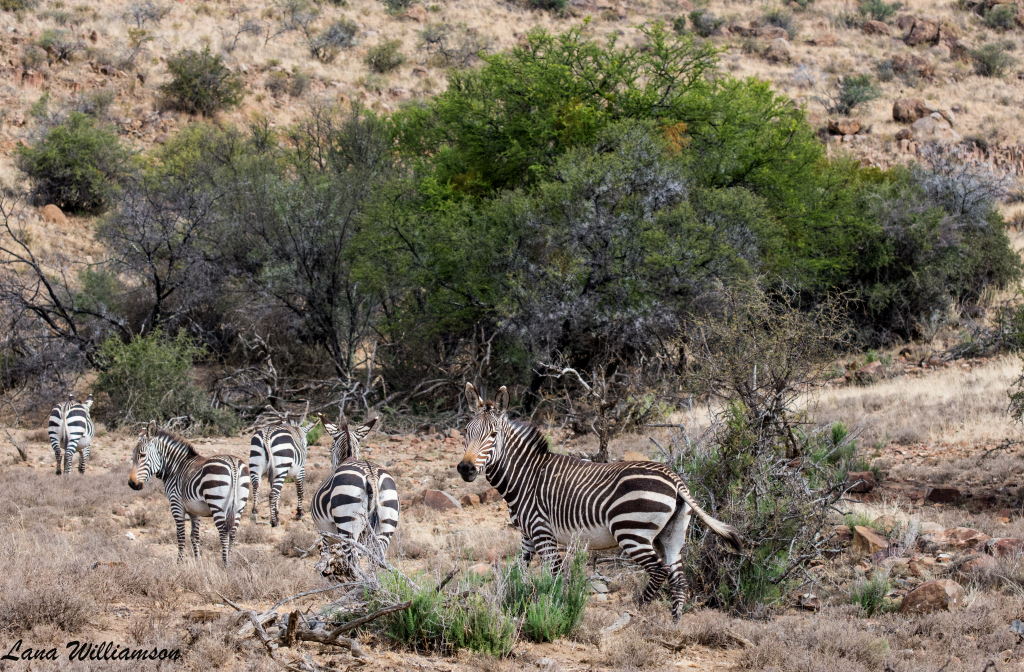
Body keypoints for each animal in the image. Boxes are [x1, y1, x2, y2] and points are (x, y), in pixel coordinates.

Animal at [128, 427, 249, 565]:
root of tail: (233, 463)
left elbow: (181, 536)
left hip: (218, 504)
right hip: (239, 506)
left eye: (143, 455)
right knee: (233, 533)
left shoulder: (176, 505)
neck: (175, 468)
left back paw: (225, 564)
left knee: (224, 533)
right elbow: (194, 536)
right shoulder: (195, 510)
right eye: (133, 456)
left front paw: (179, 563)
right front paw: (198, 562)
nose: (132, 484)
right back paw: (231, 560)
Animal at [311, 417, 400, 574]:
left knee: (354, 563)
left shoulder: (326, 531)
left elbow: (325, 556)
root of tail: (371, 475)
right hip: (386, 524)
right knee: (375, 562)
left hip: (348, 525)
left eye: (330, 449)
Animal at [456, 383, 742, 619]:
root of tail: (673, 478)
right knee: (678, 578)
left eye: (493, 435)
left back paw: (636, 613)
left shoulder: (542, 532)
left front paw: (554, 610)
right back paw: (673, 625)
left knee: (659, 571)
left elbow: (554, 577)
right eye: (466, 432)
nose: (465, 469)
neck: (526, 475)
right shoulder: (528, 535)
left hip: (632, 532)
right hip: (672, 535)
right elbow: (518, 570)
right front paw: (509, 600)